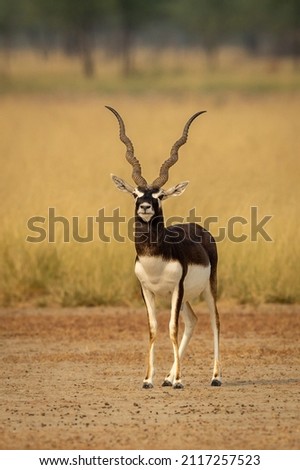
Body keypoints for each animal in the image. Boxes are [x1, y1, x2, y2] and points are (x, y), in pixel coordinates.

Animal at [106, 106, 221, 390]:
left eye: (159, 196)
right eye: (136, 194)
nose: (146, 206)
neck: (154, 261)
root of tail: (200, 229)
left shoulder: (176, 289)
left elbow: (171, 328)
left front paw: (179, 380)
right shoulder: (147, 290)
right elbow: (154, 328)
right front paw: (149, 379)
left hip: (207, 288)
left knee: (215, 321)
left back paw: (215, 377)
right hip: (185, 297)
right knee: (193, 321)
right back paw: (168, 378)